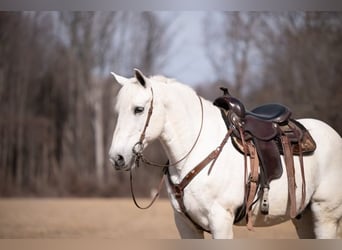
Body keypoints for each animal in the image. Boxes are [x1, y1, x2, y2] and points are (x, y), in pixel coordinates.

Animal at [109, 68, 342, 238]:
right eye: (118, 111)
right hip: (303, 217)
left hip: (325, 215)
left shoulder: (220, 221)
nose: (116, 158)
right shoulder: (186, 226)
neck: (197, 150)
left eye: (139, 109)